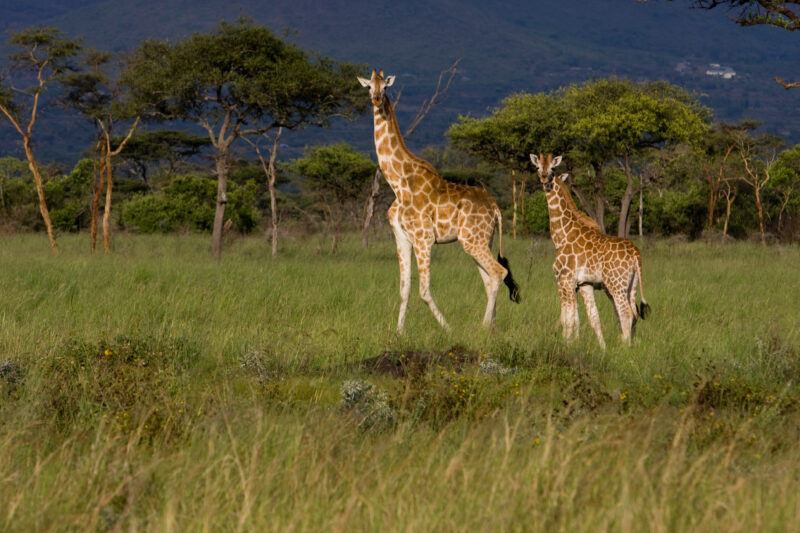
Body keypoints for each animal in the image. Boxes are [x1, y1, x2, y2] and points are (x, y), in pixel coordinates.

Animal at [357, 69, 520, 332]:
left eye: (386, 87)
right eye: (369, 86)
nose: (376, 99)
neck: (398, 182)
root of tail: (495, 207)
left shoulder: (423, 238)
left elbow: (423, 291)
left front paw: (448, 329)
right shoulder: (402, 238)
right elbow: (404, 289)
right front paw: (399, 332)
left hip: (473, 240)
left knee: (498, 273)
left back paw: (483, 327)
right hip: (483, 240)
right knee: (489, 279)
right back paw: (491, 328)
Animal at [530, 153, 649, 348]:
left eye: (553, 168)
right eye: (537, 167)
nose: (545, 178)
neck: (562, 234)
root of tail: (635, 254)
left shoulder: (564, 280)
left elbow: (568, 319)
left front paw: (567, 345)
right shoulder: (583, 284)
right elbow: (589, 318)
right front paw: (598, 348)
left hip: (615, 284)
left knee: (625, 313)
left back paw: (623, 348)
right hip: (631, 285)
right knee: (633, 313)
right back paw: (628, 345)